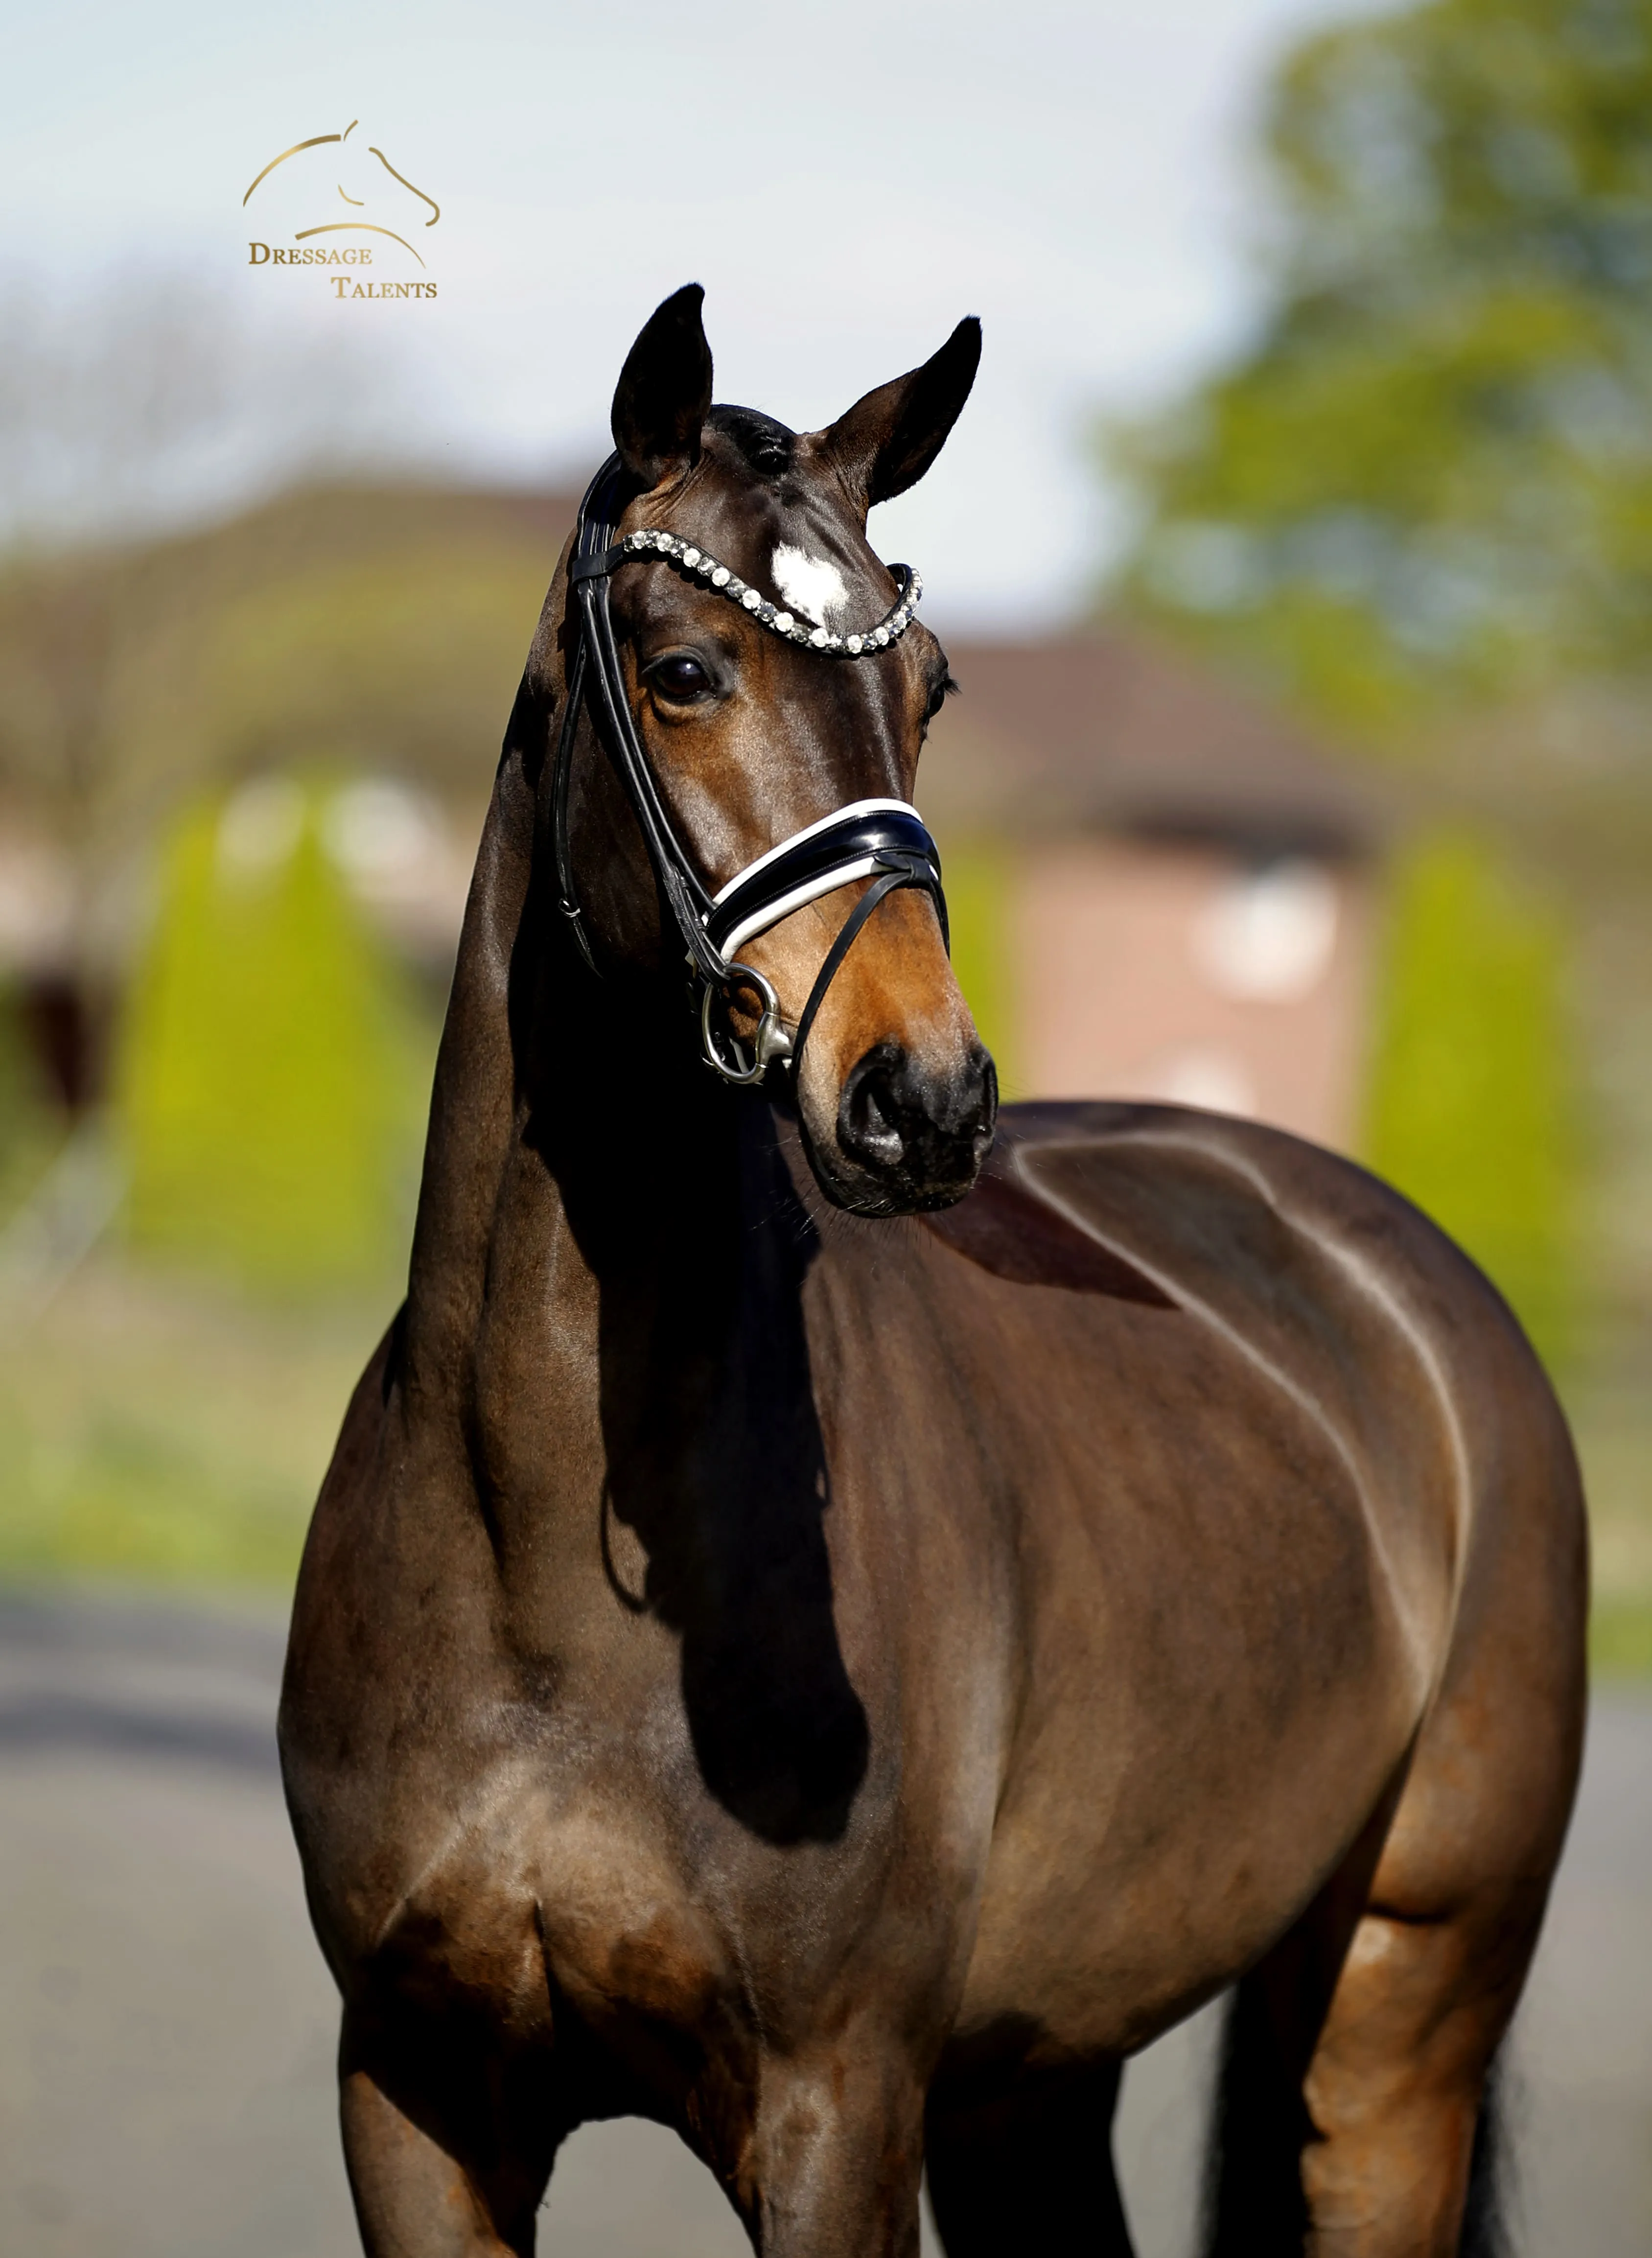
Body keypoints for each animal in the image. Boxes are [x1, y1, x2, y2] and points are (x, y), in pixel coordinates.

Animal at [279, 283, 1588, 2258]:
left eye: (929, 686)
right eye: (683, 668)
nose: (925, 1097)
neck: (541, 1548)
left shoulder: (836, 2113)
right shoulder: (419, 2097)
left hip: (1396, 2014)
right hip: (1031, 2080)